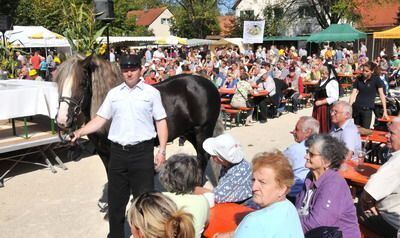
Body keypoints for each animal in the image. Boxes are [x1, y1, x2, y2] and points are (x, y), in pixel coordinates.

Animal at [53, 54, 222, 177]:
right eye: (59, 83)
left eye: (82, 83)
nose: (62, 120)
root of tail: (208, 84)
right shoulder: (103, 153)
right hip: (189, 132)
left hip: (202, 130)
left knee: (203, 157)